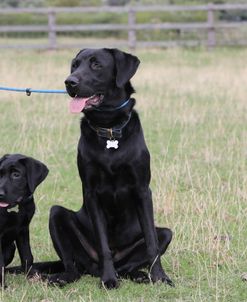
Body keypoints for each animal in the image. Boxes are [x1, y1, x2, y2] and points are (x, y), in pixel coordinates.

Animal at [0, 155, 48, 286]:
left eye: (16, 175)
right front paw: (2, 285)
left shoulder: (23, 229)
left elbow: (27, 255)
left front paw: (33, 276)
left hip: (11, 248)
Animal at [42, 48, 173, 290]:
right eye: (74, 65)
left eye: (96, 65)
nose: (69, 82)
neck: (109, 128)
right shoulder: (91, 192)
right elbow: (103, 246)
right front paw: (109, 279)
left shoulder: (142, 190)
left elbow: (152, 242)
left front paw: (159, 276)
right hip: (56, 215)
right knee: (73, 265)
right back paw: (66, 277)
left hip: (166, 234)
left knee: (130, 264)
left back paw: (138, 275)